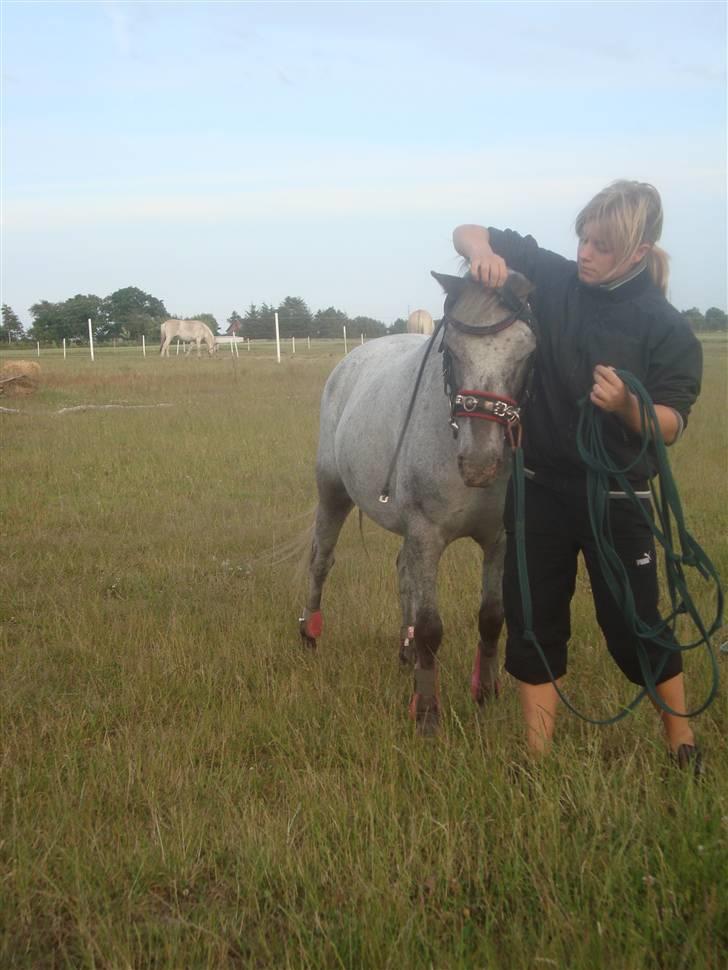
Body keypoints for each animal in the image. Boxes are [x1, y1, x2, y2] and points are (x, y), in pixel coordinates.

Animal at [298, 268, 536, 728]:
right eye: (452, 350)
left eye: (526, 351)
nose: (480, 461)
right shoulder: (427, 535)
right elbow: (430, 628)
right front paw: (426, 714)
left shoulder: (499, 540)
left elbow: (491, 618)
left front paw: (485, 694)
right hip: (333, 493)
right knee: (321, 560)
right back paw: (309, 636)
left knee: (402, 570)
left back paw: (405, 652)